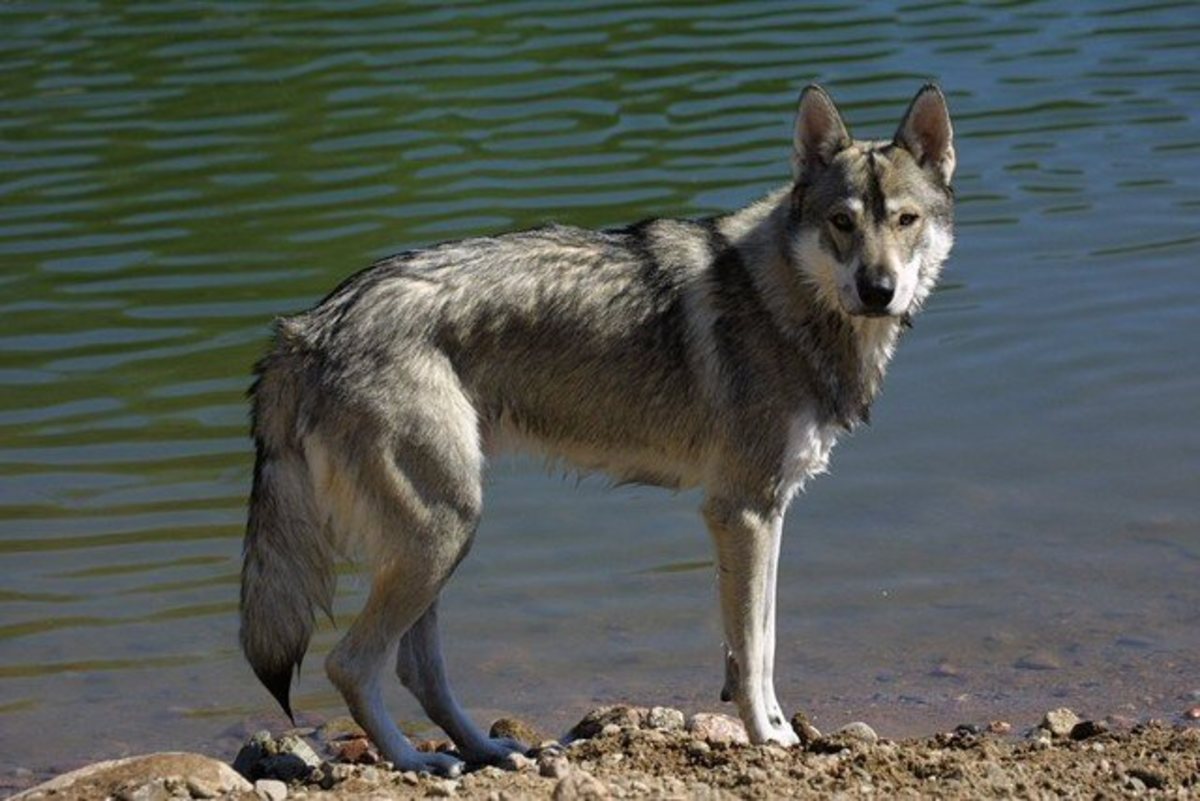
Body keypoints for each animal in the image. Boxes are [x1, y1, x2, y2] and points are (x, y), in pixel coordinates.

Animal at [241, 84, 955, 772]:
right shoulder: (742, 512)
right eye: (842, 222)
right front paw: (770, 738)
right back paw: (417, 761)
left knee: (419, 671)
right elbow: (752, 651)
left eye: (905, 221)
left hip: (436, 544)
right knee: (351, 664)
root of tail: (306, 329)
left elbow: (765, 640)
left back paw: (489, 752)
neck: (787, 300)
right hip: (440, 535)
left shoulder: (769, 511)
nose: (878, 289)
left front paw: (777, 727)